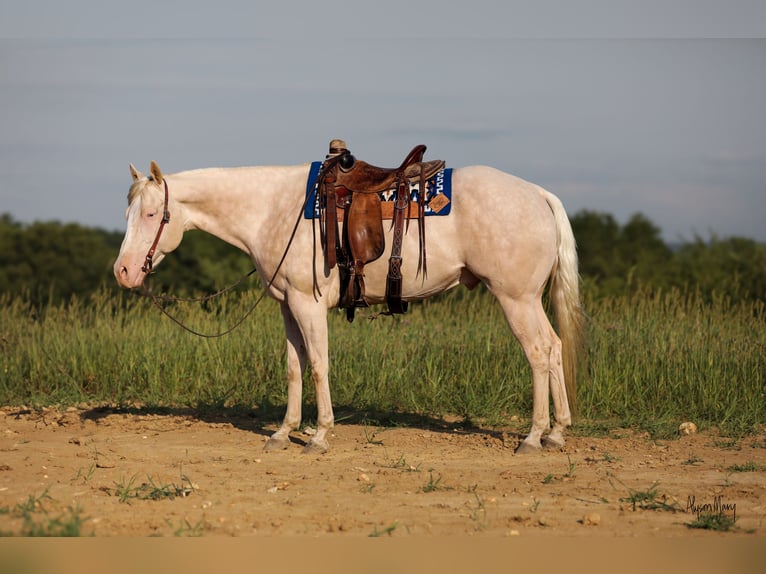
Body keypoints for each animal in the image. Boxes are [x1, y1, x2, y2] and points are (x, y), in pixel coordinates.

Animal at [112, 154, 584, 460]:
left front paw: (319, 436)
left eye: (153, 215)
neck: (273, 209)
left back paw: (533, 437)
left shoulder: (309, 304)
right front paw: (283, 433)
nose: (123, 271)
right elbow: (294, 367)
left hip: (516, 299)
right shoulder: (288, 306)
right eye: (127, 214)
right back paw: (557, 433)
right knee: (555, 348)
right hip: (528, 301)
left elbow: (319, 365)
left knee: (538, 352)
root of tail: (538, 194)